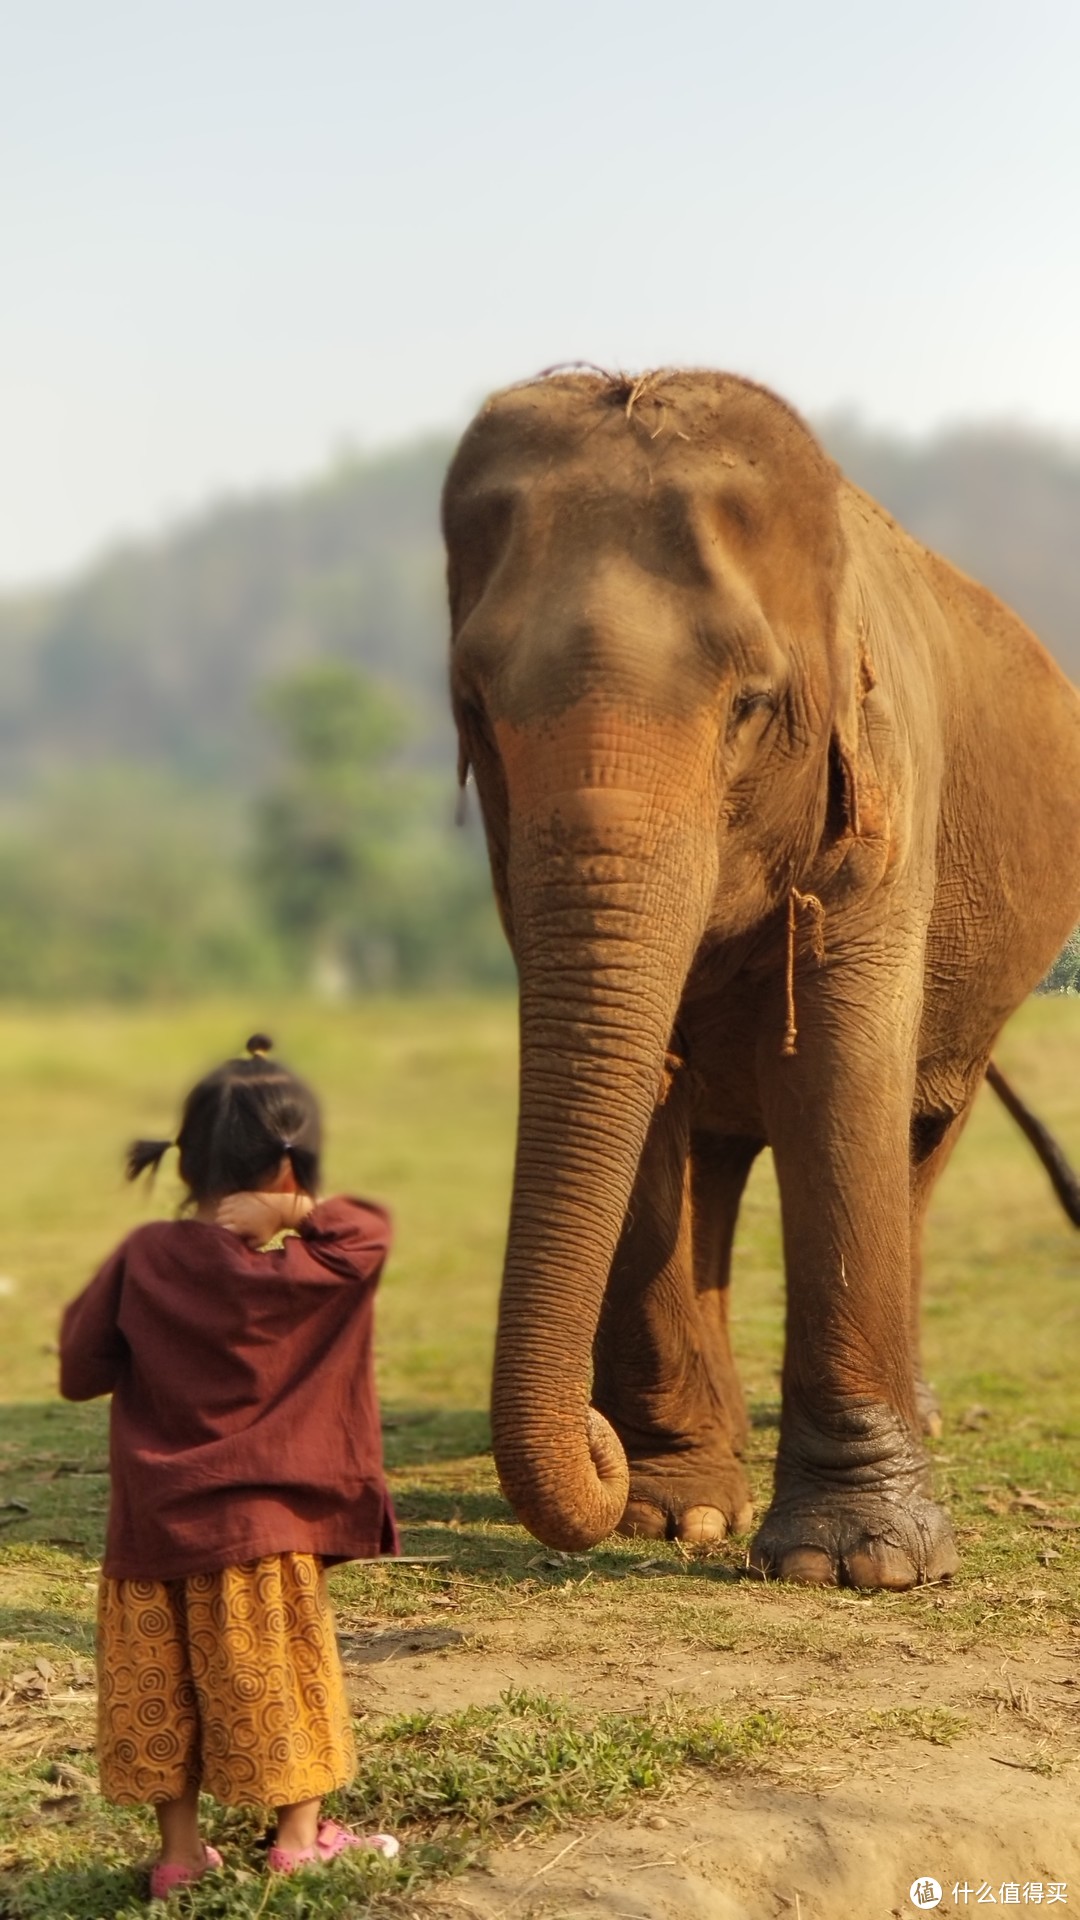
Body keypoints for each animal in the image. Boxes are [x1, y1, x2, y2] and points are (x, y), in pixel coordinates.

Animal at [438, 370, 1076, 1589]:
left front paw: (857, 1565)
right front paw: (674, 1512)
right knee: (716, 1157)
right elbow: (641, 1091)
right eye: (474, 713)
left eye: (747, 706)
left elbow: (838, 1079)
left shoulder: (889, 795)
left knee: (921, 1133)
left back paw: (910, 1413)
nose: (594, 1444)